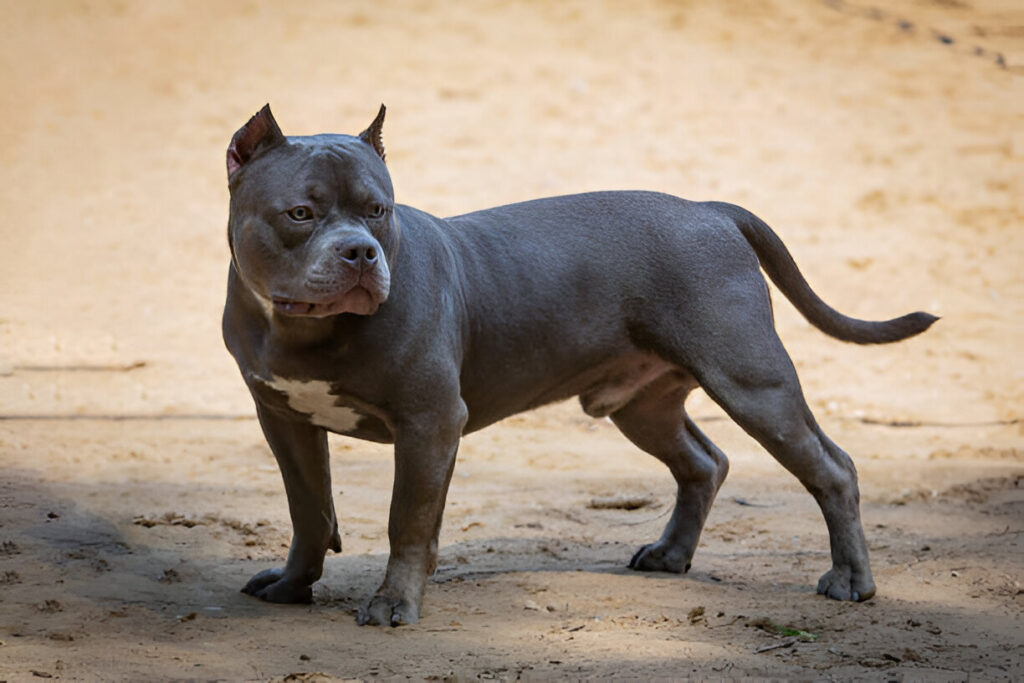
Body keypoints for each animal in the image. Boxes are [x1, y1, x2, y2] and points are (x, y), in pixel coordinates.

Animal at [222, 105, 937, 626]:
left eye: (378, 210)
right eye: (301, 213)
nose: (361, 253)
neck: (306, 330)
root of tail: (709, 210)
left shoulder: (429, 423)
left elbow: (409, 521)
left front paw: (395, 603)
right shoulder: (282, 419)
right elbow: (310, 509)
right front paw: (292, 585)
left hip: (754, 385)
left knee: (831, 469)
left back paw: (851, 582)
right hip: (642, 406)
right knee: (703, 462)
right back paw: (670, 554)